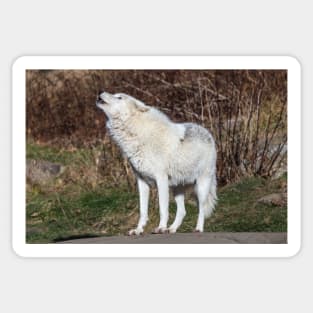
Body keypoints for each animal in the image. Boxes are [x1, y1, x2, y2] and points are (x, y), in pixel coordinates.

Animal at [96, 90, 216, 234]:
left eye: (119, 97)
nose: (100, 92)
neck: (136, 134)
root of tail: (207, 132)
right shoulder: (141, 181)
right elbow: (143, 211)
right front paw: (138, 230)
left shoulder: (161, 179)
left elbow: (163, 209)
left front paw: (160, 227)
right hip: (177, 188)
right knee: (183, 211)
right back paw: (171, 229)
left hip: (201, 186)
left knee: (202, 208)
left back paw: (198, 229)